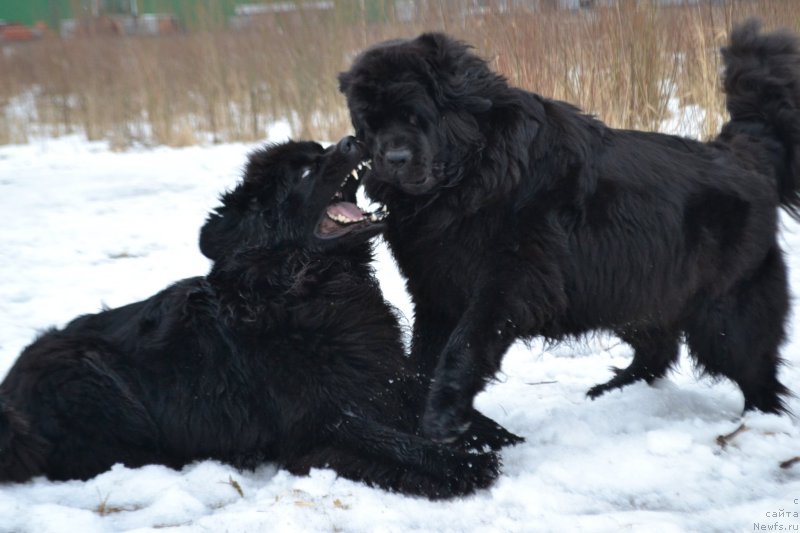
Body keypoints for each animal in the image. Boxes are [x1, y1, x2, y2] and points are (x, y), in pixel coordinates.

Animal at [0, 138, 512, 498]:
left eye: (318, 151)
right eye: (306, 171)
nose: (353, 139)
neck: (310, 290)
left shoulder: (382, 374)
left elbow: (436, 408)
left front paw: (485, 434)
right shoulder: (317, 421)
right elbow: (383, 439)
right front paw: (459, 464)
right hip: (86, 373)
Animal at [340, 19, 800, 440]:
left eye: (415, 116)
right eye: (371, 124)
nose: (394, 159)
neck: (472, 174)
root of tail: (743, 155)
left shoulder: (512, 280)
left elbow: (464, 342)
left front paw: (444, 414)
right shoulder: (435, 285)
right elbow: (424, 352)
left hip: (724, 313)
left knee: (754, 370)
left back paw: (758, 425)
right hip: (634, 289)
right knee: (659, 348)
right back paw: (614, 389)